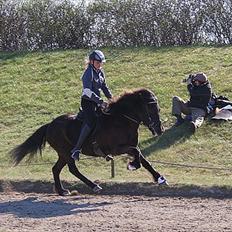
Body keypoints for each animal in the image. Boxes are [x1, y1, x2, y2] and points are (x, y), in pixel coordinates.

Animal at [10, 87, 168, 196]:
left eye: (158, 107)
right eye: (150, 106)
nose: (160, 129)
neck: (121, 119)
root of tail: (50, 125)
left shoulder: (130, 146)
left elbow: (143, 159)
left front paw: (159, 178)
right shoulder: (117, 149)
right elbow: (137, 154)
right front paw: (133, 165)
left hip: (63, 154)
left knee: (56, 169)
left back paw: (62, 191)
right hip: (66, 152)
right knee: (72, 169)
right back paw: (93, 186)